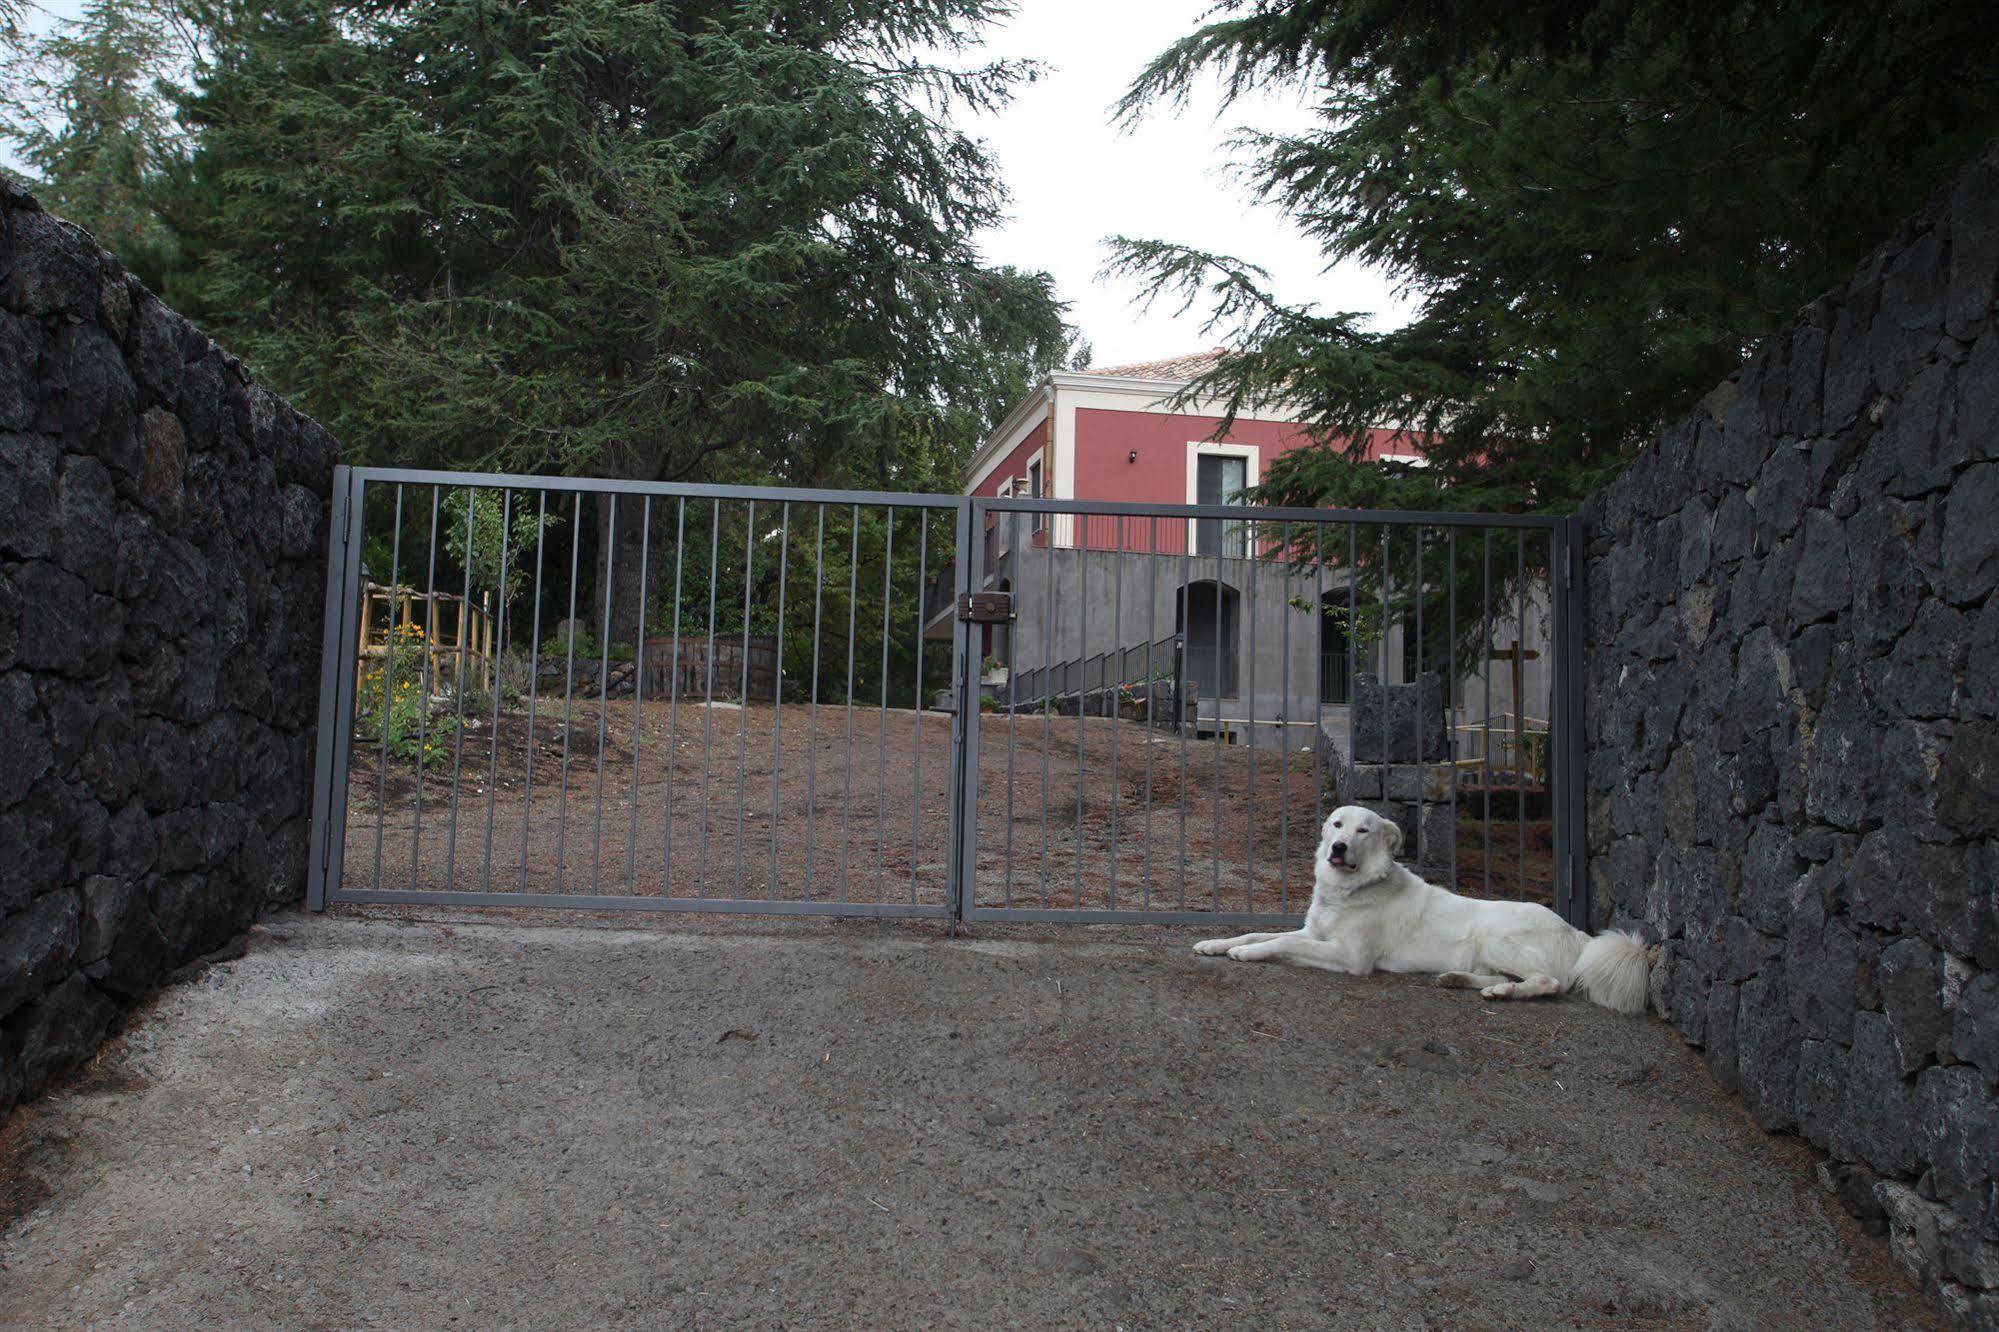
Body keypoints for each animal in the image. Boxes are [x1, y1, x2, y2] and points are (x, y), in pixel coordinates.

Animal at [1191, 804, 1647, 1012]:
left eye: (1363, 830)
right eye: (1337, 824)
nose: (1338, 848)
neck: (1352, 889)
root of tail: (1580, 933)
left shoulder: (1350, 956)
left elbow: (1280, 942)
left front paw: (1246, 953)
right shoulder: (1314, 933)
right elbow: (1261, 931)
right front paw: (1216, 944)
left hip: (1497, 937)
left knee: (1549, 982)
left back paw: (1506, 992)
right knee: (1506, 976)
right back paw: (1465, 981)